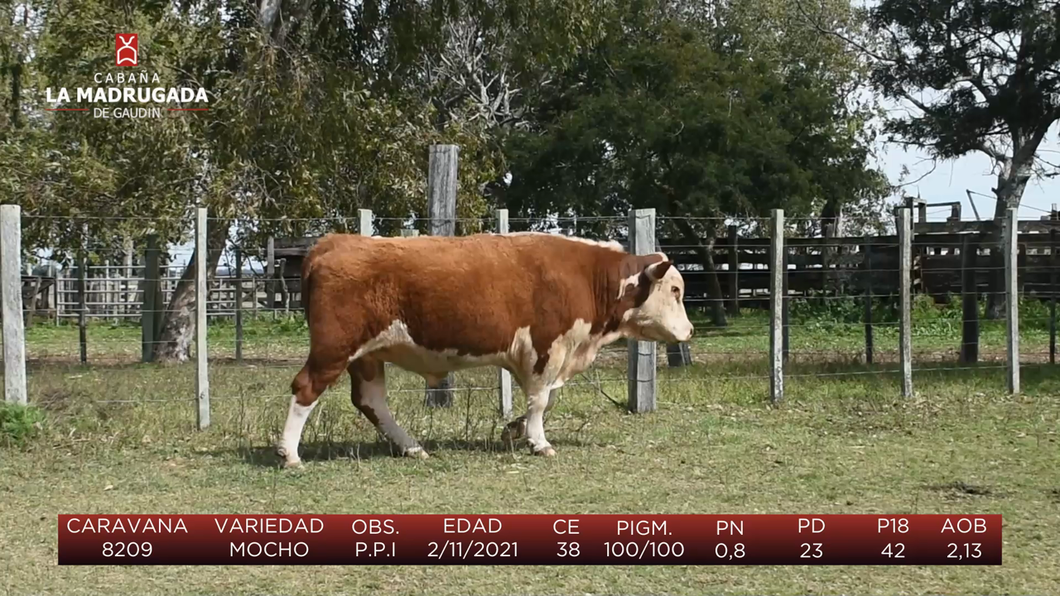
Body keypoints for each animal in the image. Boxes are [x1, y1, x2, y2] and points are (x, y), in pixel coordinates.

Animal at [275, 230, 695, 466]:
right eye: (675, 290)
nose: (689, 331)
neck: (586, 274)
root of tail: (336, 241)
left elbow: (545, 400)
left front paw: (514, 429)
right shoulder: (546, 348)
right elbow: (541, 400)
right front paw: (539, 442)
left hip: (366, 356)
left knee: (371, 402)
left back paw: (412, 448)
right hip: (334, 348)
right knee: (306, 389)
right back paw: (290, 454)